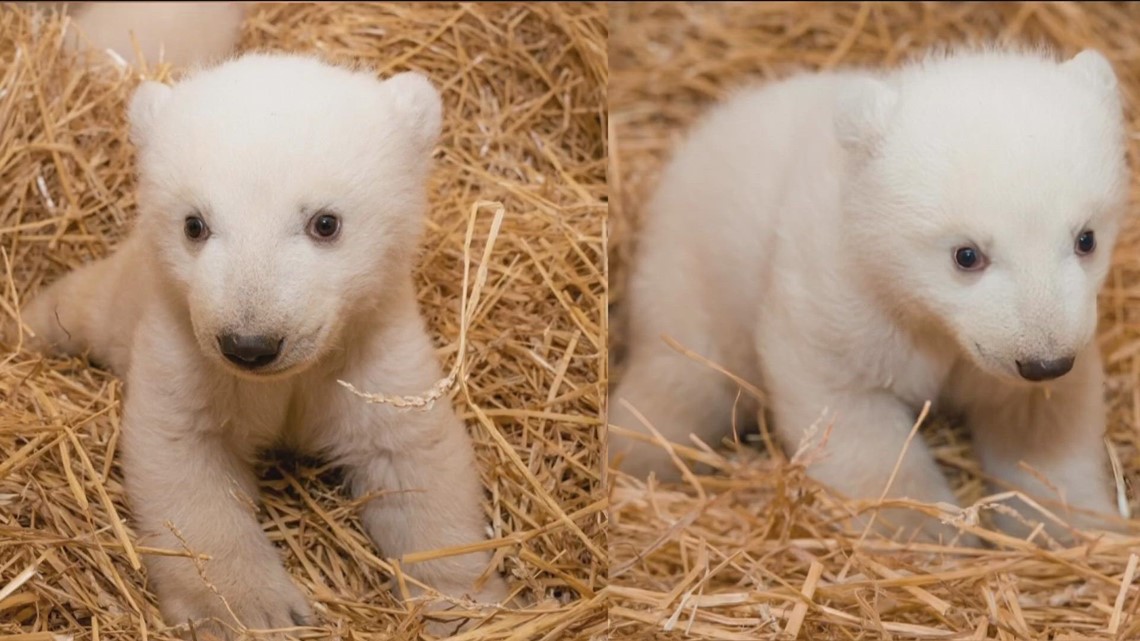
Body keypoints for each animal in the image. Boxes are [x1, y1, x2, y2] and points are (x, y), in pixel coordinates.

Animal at [16, 54, 508, 637]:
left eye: (325, 222)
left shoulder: (374, 349)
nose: (249, 344)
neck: (290, 377)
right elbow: (186, 463)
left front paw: (463, 605)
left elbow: (413, 459)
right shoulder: (183, 351)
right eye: (194, 224)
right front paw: (254, 610)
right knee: (73, 306)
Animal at [609, 47, 1129, 543]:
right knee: (679, 384)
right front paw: (926, 528)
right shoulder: (841, 293)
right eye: (966, 255)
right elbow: (847, 406)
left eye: (1086, 239)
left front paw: (1073, 524)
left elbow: (1039, 420)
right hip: (691, 279)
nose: (1044, 361)